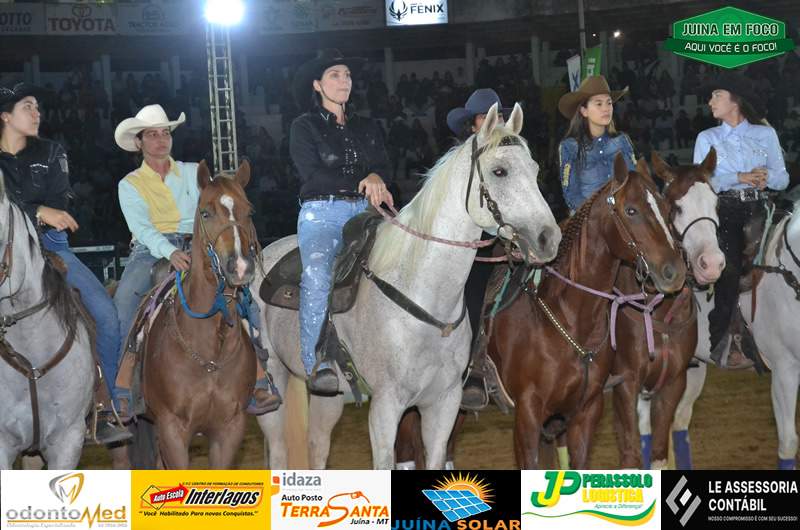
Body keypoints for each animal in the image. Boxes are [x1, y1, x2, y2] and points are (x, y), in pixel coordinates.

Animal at [254, 103, 561, 469]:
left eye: (535, 168)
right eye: (499, 171)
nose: (548, 238)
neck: (424, 298)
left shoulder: (443, 404)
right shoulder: (386, 407)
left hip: (329, 394)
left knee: (317, 445)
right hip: (274, 380)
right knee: (278, 452)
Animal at [610, 149, 724, 470]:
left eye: (716, 203)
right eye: (677, 208)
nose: (712, 264)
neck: (657, 311)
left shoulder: (674, 382)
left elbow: (659, 452)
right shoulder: (626, 385)